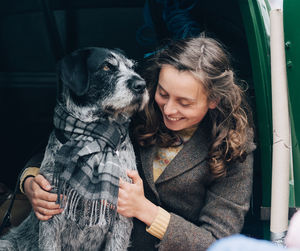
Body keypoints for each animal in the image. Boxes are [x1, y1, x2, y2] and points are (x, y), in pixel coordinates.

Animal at [0, 46, 149, 249]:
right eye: (106, 67)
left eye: (132, 67)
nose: (141, 85)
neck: (94, 137)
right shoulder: (51, 213)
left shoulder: (121, 216)